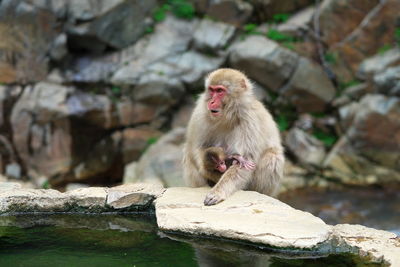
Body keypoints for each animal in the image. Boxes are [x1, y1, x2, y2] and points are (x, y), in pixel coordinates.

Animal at [182, 68, 284, 206]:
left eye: (220, 91)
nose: (211, 101)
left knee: (272, 156)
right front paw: (211, 171)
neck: (228, 117)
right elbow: (197, 148)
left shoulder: (250, 120)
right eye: (212, 90)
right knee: (188, 153)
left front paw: (217, 192)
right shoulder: (200, 113)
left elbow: (245, 161)